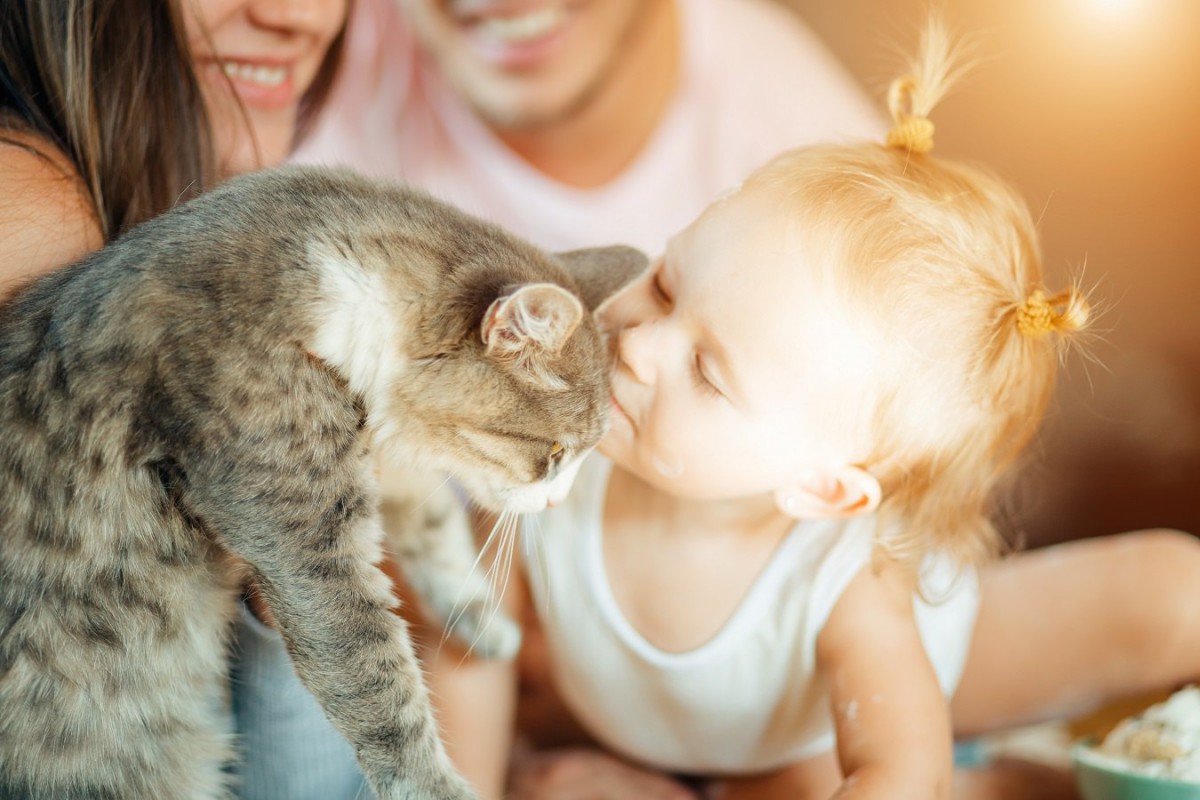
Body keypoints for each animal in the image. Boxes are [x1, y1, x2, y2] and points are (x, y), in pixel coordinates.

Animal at [0, 164, 648, 800]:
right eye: (555, 454)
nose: (559, 500)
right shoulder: (309, 539)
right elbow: (374, 673)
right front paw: (436, 785)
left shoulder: (387, 457)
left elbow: (434, 524)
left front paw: (475, 615)